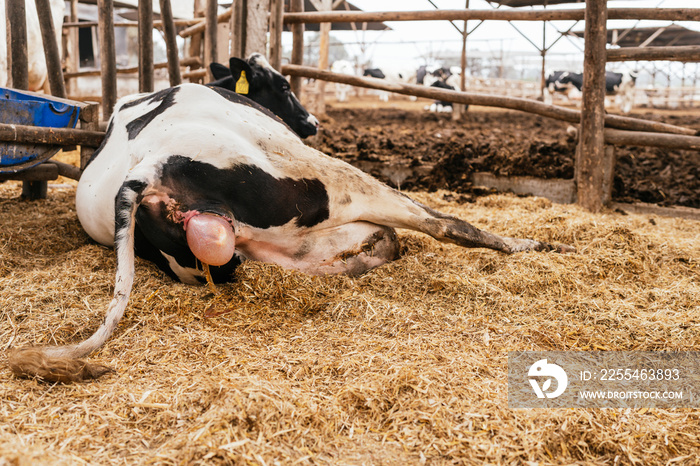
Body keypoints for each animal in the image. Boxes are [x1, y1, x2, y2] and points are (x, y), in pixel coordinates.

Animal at [6, 55, 576, 382]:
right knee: (440, 224)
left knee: (370, 247)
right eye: (280, 83)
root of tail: (147, 165)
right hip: (326, 178)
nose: (313, 121)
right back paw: (536, 246)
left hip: (265, 244)